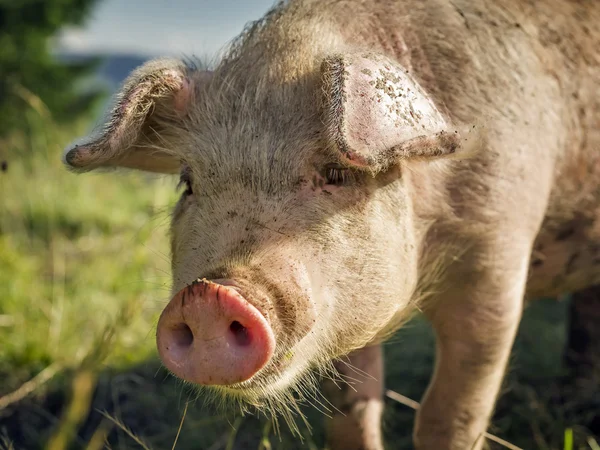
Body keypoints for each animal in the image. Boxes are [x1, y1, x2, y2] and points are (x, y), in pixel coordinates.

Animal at [62, 0, 600, 448]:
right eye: (189, 183)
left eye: (337, 174)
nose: (209, 296)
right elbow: (352, 410)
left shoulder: (498, 256)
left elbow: (451, 411)